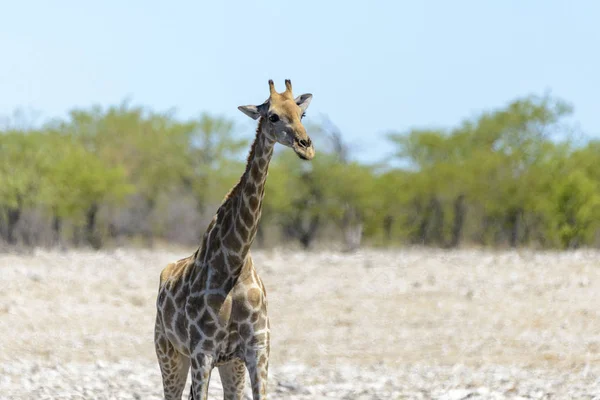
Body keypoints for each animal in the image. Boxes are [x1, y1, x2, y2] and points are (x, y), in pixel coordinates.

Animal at [154, 79, 314, 400]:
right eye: (273, 116)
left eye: (301, 114)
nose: (306, 147)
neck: (235, 260)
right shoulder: (202, 352)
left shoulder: (257, 349)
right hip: (170, 353)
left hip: (230, 365)